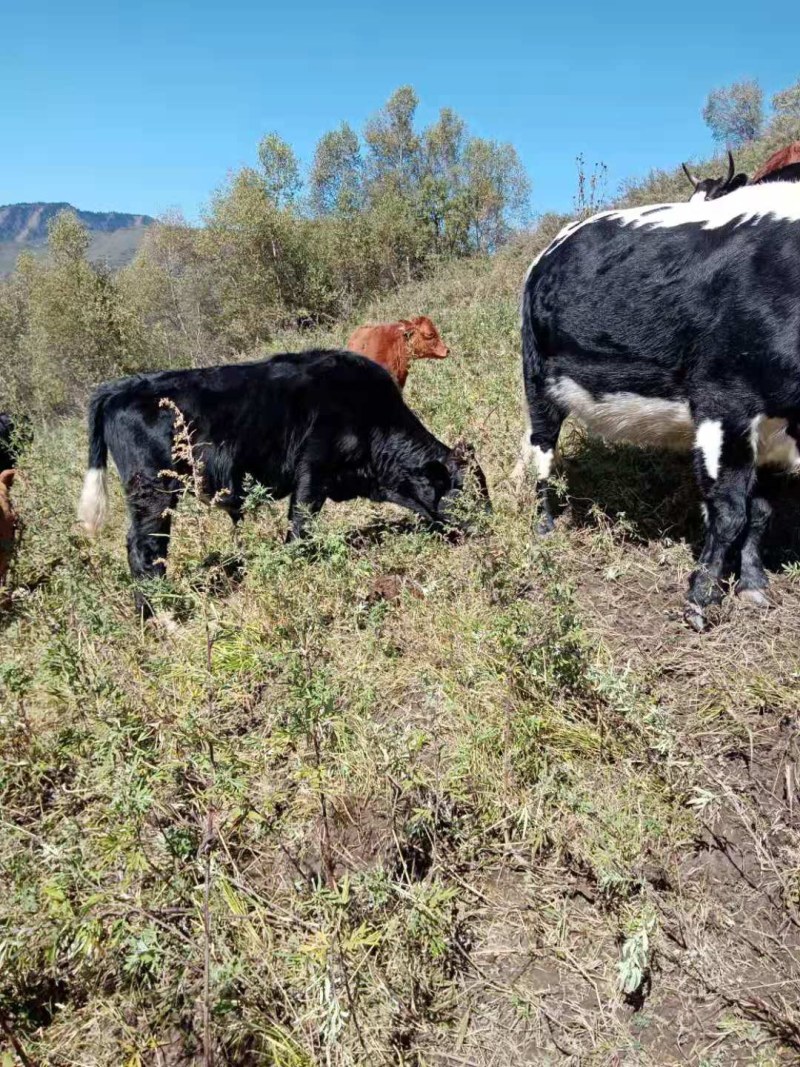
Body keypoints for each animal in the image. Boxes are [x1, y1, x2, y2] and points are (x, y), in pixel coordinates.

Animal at [78, 349, 488, 618]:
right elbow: (300, 525)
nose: (490, 527)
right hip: (154, 491)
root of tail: (122, 387)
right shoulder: (313, 471)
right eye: (464, 491)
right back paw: (158, 614)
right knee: (144, 548)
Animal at [516, 180, 800, 627]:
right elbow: (730, 511)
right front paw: (701, 598)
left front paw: (753, 584)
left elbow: (760, 510)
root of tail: (551, 247)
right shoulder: (721, 400)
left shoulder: (768, 425)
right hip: (538, 378)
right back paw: (544, 526)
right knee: (542, 453)